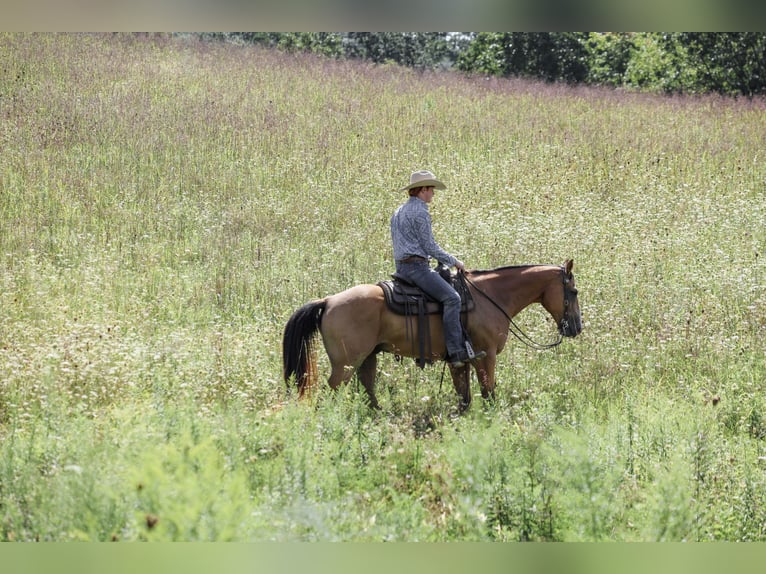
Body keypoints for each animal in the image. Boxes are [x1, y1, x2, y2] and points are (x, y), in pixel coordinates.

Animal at [282, 259, 582, 411]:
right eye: (574, 291)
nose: (576, 328)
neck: (491, 297)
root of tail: (328, 301)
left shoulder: (459, 360)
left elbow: (464, 397)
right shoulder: (486, 357)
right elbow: (488, 394)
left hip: (367, 358)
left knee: (369, 390)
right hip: (344, 365)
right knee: (328, 394)